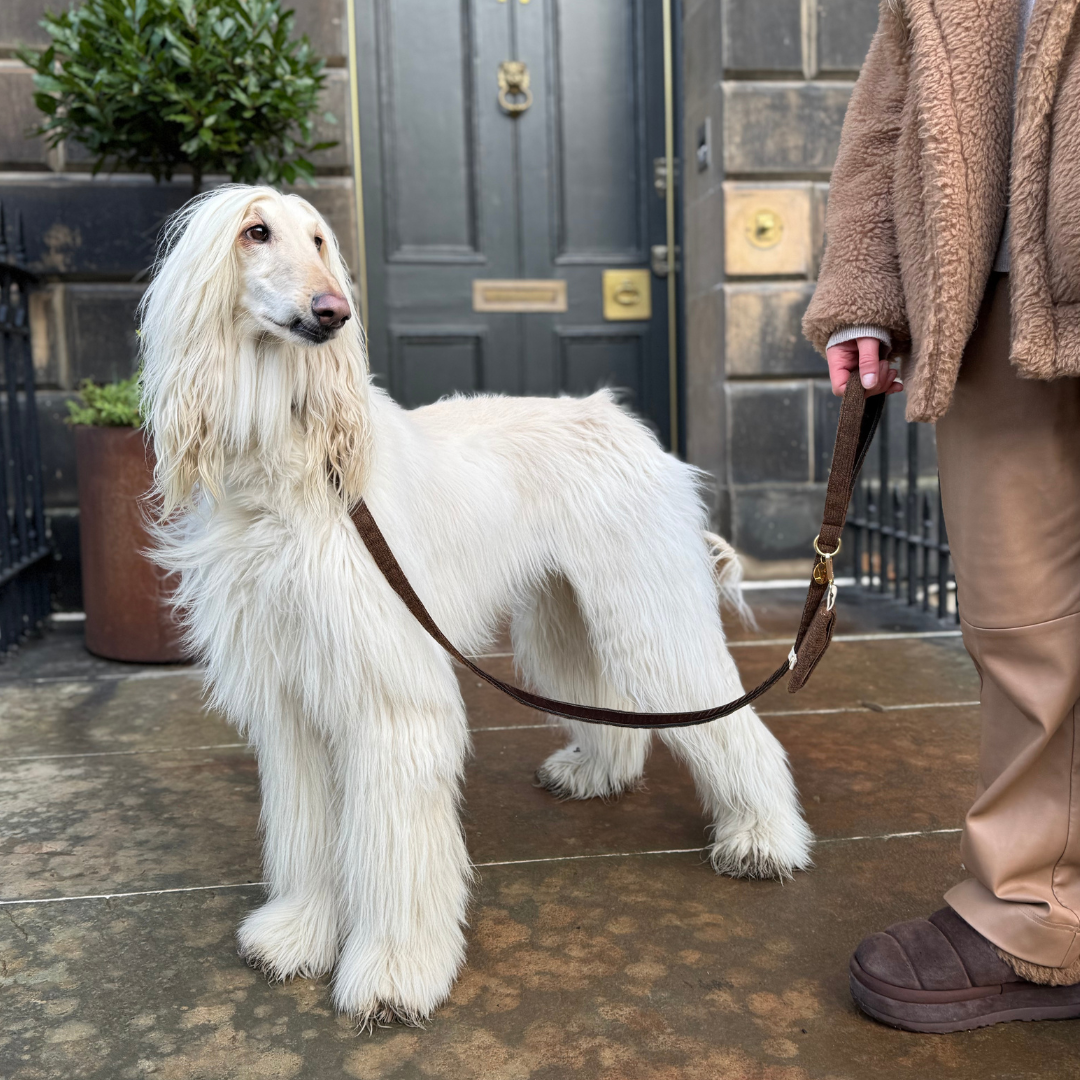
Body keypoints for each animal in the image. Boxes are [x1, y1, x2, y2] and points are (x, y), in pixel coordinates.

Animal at [139, 183, 812, 1019]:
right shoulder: (292, 692)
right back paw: (600, 772)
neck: (292, 471)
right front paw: (298, 932)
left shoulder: (390, 693)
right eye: (255, 233)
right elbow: (305, 825)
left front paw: (394, 972)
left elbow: (396, 845)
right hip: (566, 613)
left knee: (726, 718)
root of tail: (621, 420)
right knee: (611, 705)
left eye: (320, 241)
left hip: (646, 606)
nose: (334, 313)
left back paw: (764, 838)